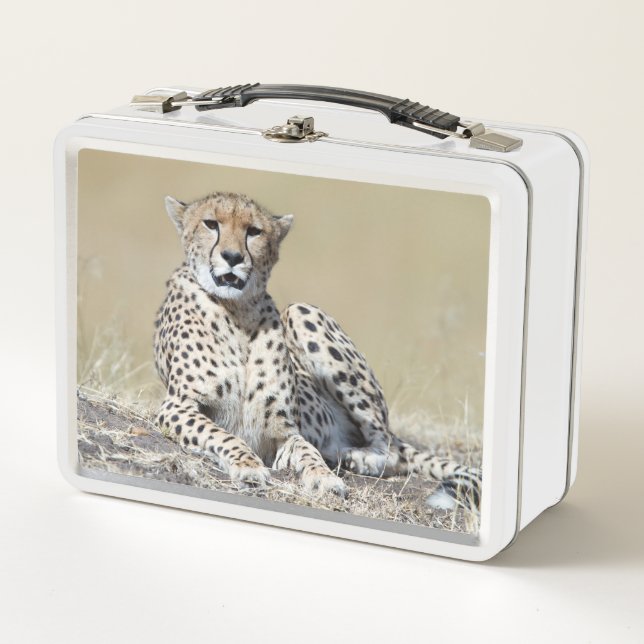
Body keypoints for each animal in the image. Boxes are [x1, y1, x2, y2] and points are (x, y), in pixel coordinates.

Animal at [154, 191, 481, 511]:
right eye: (211, 224)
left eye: (254, 231)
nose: (232, 257)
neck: (237, 312)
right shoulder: (176, 406)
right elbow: (222, 435)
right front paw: (248, 465)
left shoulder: (286, 432)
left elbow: (307, 450)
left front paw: (324, 477)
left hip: (302, 312)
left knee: (390, 447)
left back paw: (362, 458)